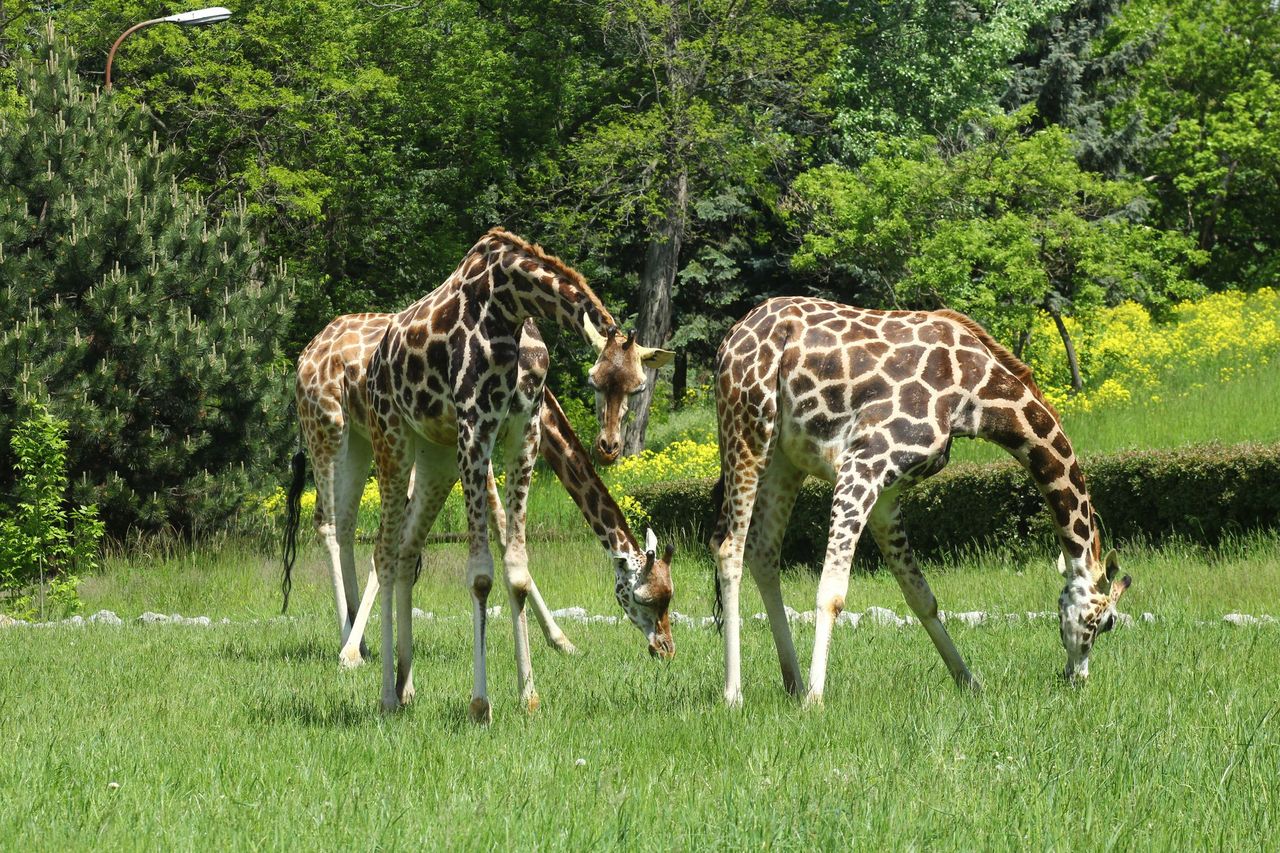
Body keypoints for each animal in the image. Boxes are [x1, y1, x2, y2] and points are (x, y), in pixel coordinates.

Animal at [711, 297, 1131, 701]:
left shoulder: (887, 494)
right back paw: (735, 694)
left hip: (783, 458)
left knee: (763, 553)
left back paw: (792, 683)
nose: (1077, 678)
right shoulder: (863, 463)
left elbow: (920, 596)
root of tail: (731, 338)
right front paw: (817, 700)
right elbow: (832, 593)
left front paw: (970, 684)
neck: (978, 395)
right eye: (1107, 622)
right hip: (748, 430)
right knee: (730, 547)